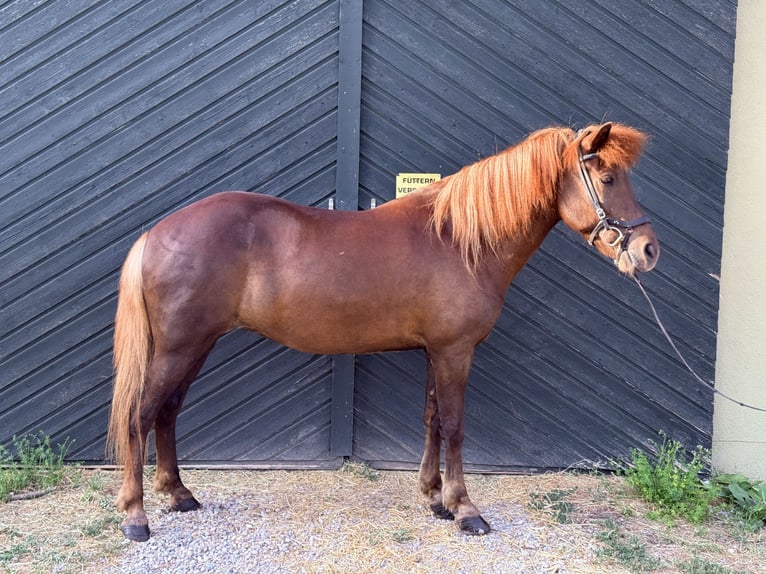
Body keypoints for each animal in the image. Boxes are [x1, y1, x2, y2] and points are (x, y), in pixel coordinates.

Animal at [107, 122, 659, 541]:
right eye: (607, 177)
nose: (648, 250)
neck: (459, 241)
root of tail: (156, 233)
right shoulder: (455, 351)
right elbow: (455, 425)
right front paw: (466, 510)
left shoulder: (436, 351)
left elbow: (432, 419)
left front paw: (435, 498)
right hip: (179, 348)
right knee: (140, 414)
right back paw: (136, 516)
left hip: (194, 345)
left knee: (167, 412)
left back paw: (180, 494)